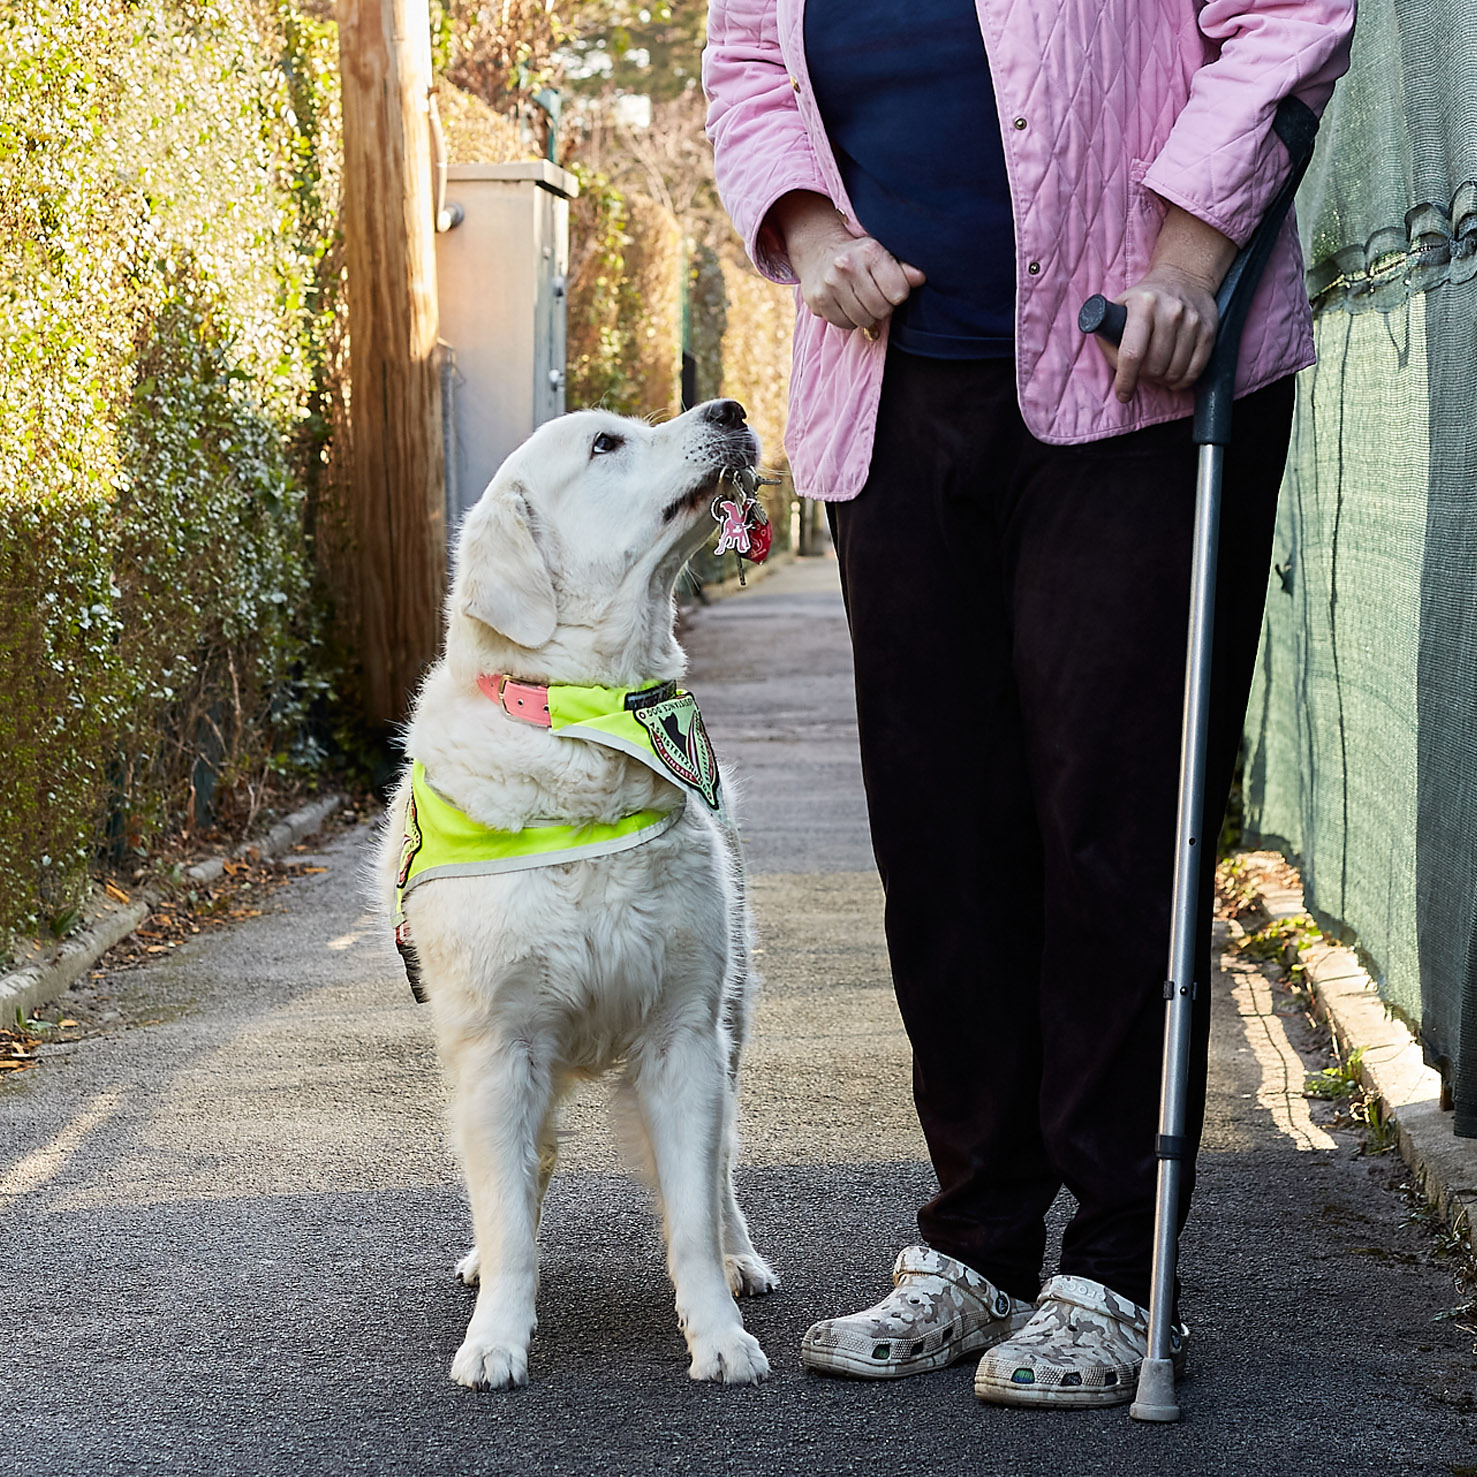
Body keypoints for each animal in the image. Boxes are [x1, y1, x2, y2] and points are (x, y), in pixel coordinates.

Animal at [375, 395, 779, 1382]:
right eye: (604, 444)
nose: (730, 408)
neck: (579, 721)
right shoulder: (499, 1046)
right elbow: (510, 1212)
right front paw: (495, 1334)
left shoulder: (682, 1036)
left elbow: (691, 1215)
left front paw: (717, 1334)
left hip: (730, 1019)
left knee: (721, 1170)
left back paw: (743, 1254)